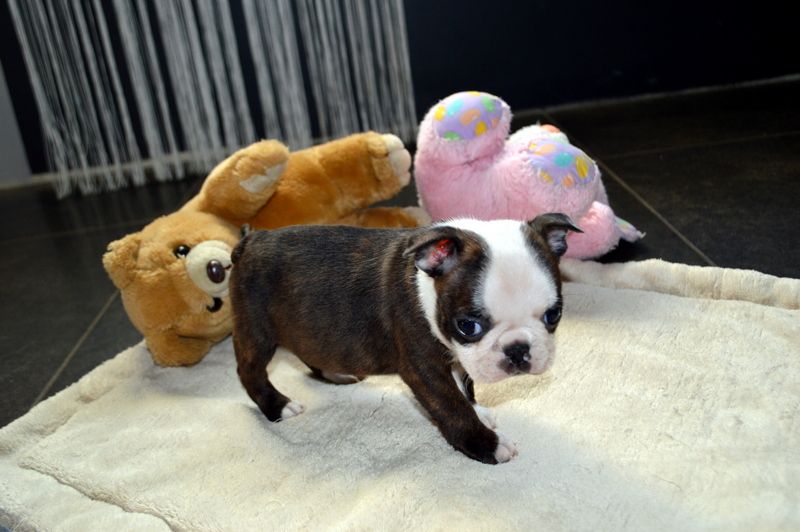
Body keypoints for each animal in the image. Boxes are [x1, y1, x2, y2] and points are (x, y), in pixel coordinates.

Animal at [229, 213, 581, 464]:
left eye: (554, 315)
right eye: (468, 326)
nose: (518, 350)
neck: (428, 284)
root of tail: (251, 239)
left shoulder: (456, 356)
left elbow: (463, 386)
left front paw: (478, 411)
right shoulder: (423, 367)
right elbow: (451, 405)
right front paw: (486, 445)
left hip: (307, 325)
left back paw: (336, 373)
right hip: (256, 327)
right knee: (249, 370)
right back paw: (278, 406)